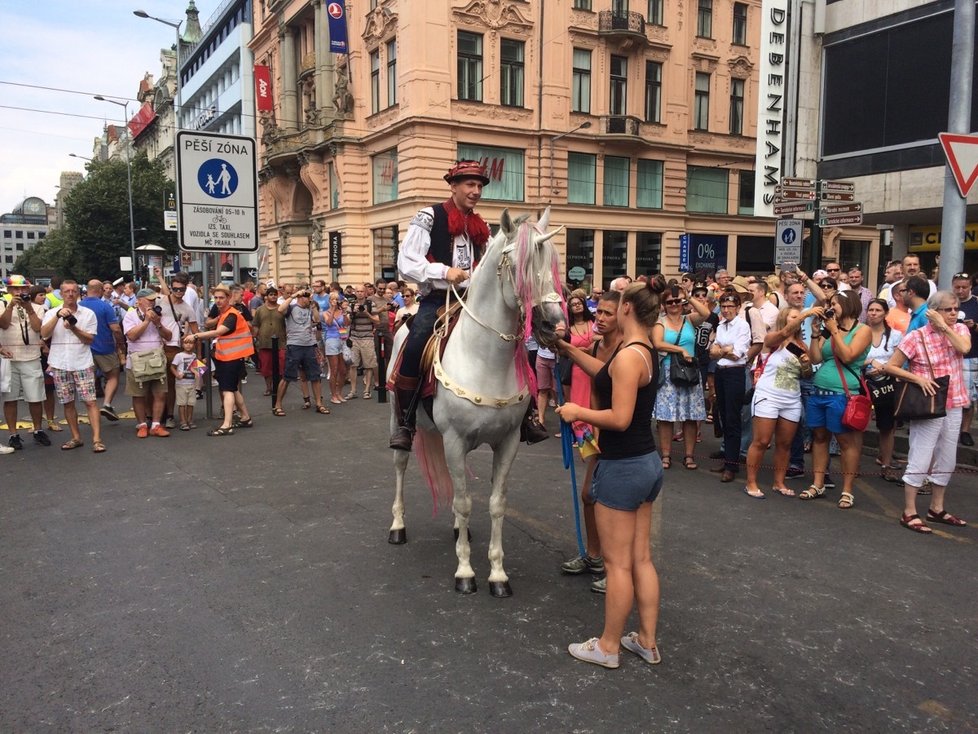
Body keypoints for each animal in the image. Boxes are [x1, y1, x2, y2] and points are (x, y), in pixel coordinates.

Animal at [384, 207, 560, 600]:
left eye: (553, 262)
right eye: (519, 265)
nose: (553, 325)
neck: (485, 360)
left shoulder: (508, 442)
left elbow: (494, 504)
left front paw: (498, 574)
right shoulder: (454, 440)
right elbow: (465, 502)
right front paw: (465, 571)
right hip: (397, 418)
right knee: (400, 465)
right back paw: (397, 526)